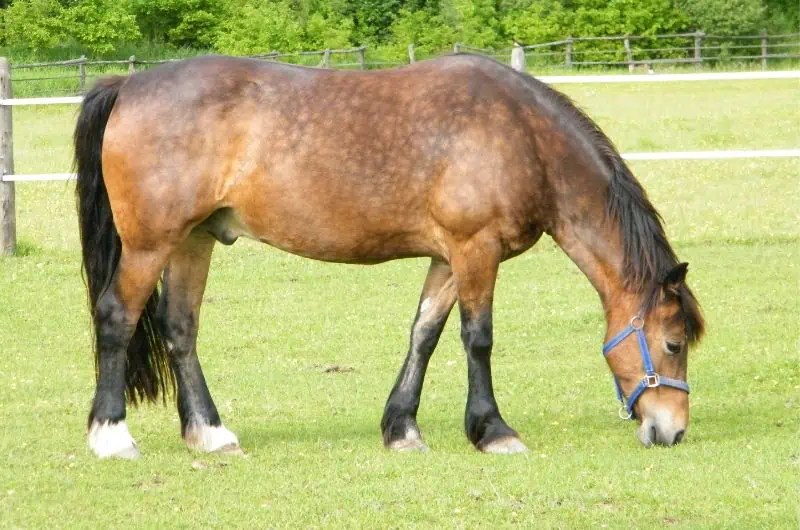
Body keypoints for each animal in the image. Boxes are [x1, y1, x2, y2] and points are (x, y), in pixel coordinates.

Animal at [74, 54, 704, 459]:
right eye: (673, 344)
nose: (671, 431)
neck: (524, 138)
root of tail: (129, 84)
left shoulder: (450, 257)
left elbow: (423, 334)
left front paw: (402, 428)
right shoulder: (476, 249)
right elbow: (478, 339)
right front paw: (493, 431)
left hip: (194, 239)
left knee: (180, 328)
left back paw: (210, 434)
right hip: (151, 244)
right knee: (117, 317)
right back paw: (111, 436)